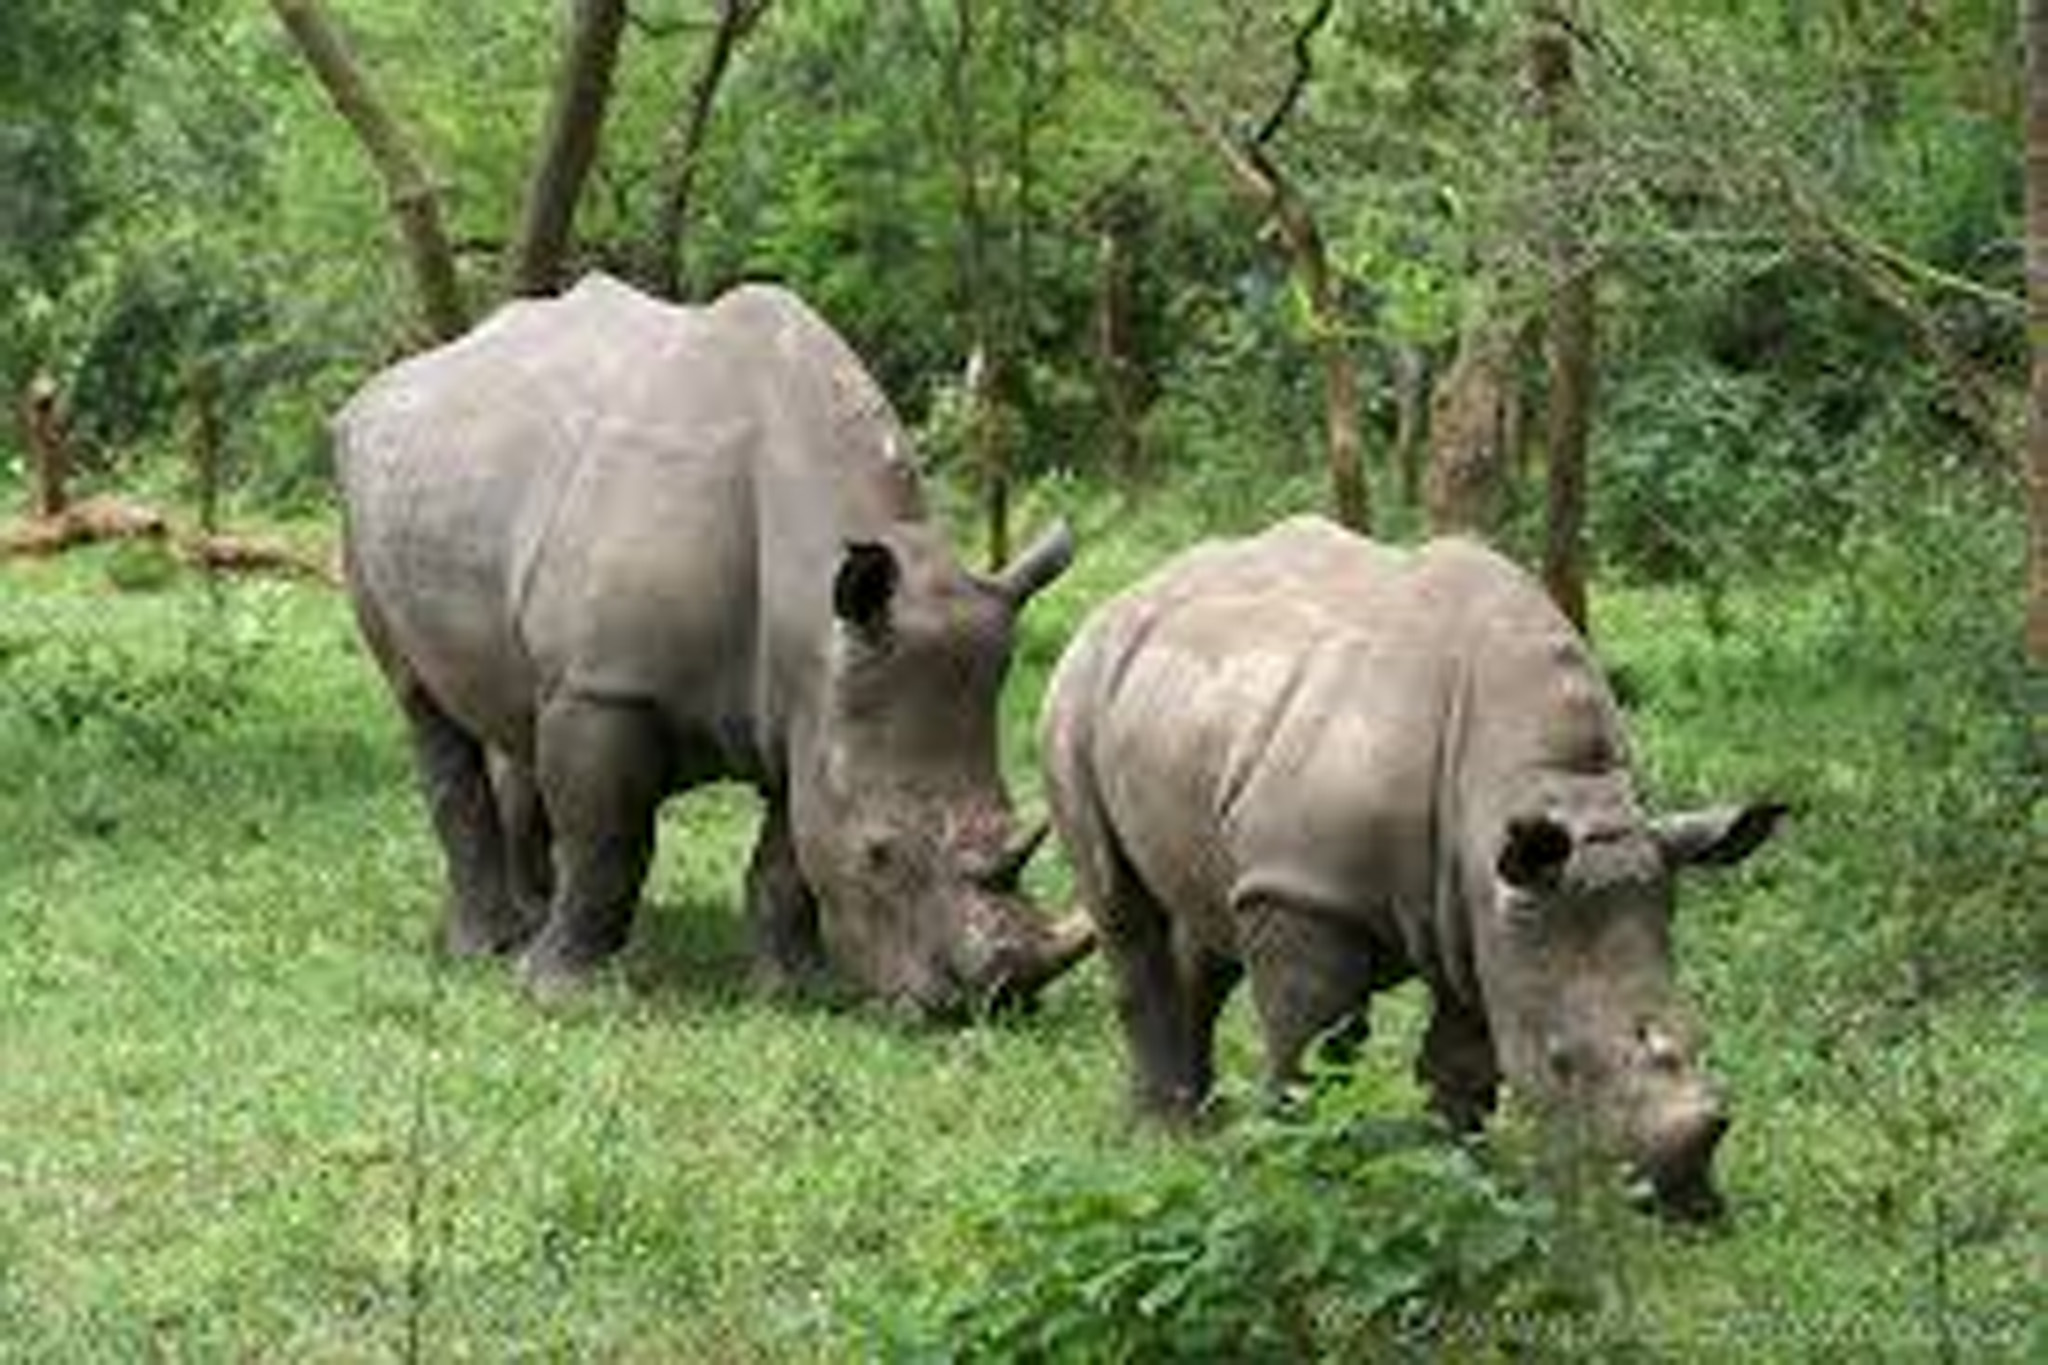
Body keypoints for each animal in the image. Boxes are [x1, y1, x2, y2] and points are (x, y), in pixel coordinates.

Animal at [337, 273, 1092, 1017]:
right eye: (878, 854)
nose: (992, 1004)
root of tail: (379, 390)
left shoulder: (813, 700)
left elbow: (788, 854)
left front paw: (797, 991)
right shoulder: (608, 685)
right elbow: (610, 845)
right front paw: (564, 997)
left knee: (515, 709)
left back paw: (529, 922)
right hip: (359, 491)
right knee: (422, 703)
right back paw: (488, 948)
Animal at [1040, 517, 1783, 1217]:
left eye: (1704, 1040)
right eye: (1561, 1062)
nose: (1681, 1204)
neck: (1551, 783)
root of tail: (1130, 592)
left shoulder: (1488, 904)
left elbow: (1464, 1061)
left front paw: (1466, 1180)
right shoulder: (1307, 889)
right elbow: (1314, 1044)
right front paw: (1300, 1178)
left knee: (1207, 914)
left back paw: (1200, 1125)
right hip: (1077, 687)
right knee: (1121, 908)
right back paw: (1164, 1136)